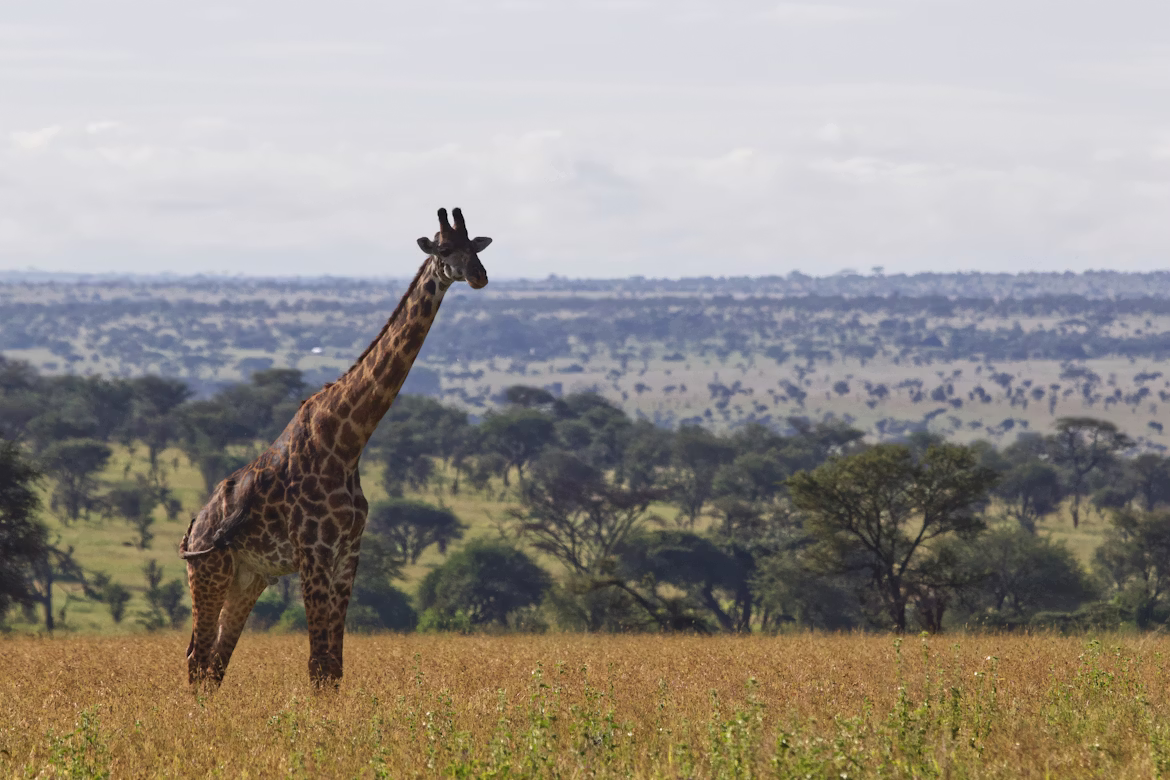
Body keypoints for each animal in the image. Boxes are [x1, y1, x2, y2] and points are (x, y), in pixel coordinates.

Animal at [180, 207, 492, 688]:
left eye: (474, 247)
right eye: (444, 249)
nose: (479, 276)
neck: (346, 443)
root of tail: (195, 527)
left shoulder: (348, 554)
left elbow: (334, 667)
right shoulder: (313, 553)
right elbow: (318, 664)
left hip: (248, 579)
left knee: (215, 662)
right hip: (207, 572)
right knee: (197, 659)